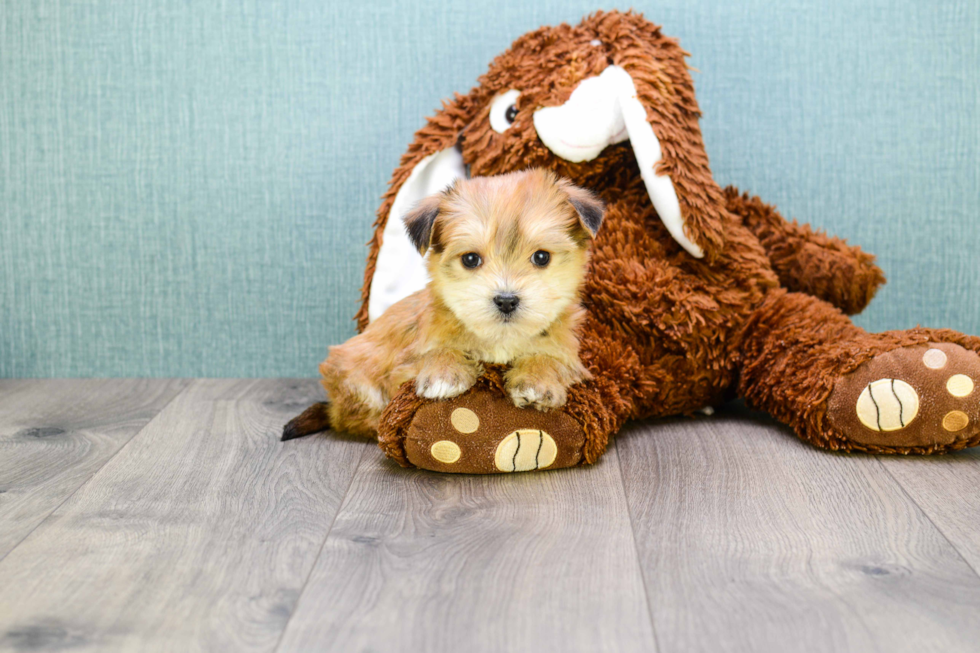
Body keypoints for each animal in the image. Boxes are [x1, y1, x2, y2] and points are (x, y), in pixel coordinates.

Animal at [282, 169, 604, 444]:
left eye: (541, 257)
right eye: (471, 259)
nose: (506, 300)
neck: (499, 338)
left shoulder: (569, 354)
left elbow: (549, 358)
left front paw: (537, 380)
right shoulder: (408, 358)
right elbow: (435, 351)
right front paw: (443, 374)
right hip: (353, 378)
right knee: (355, 418)